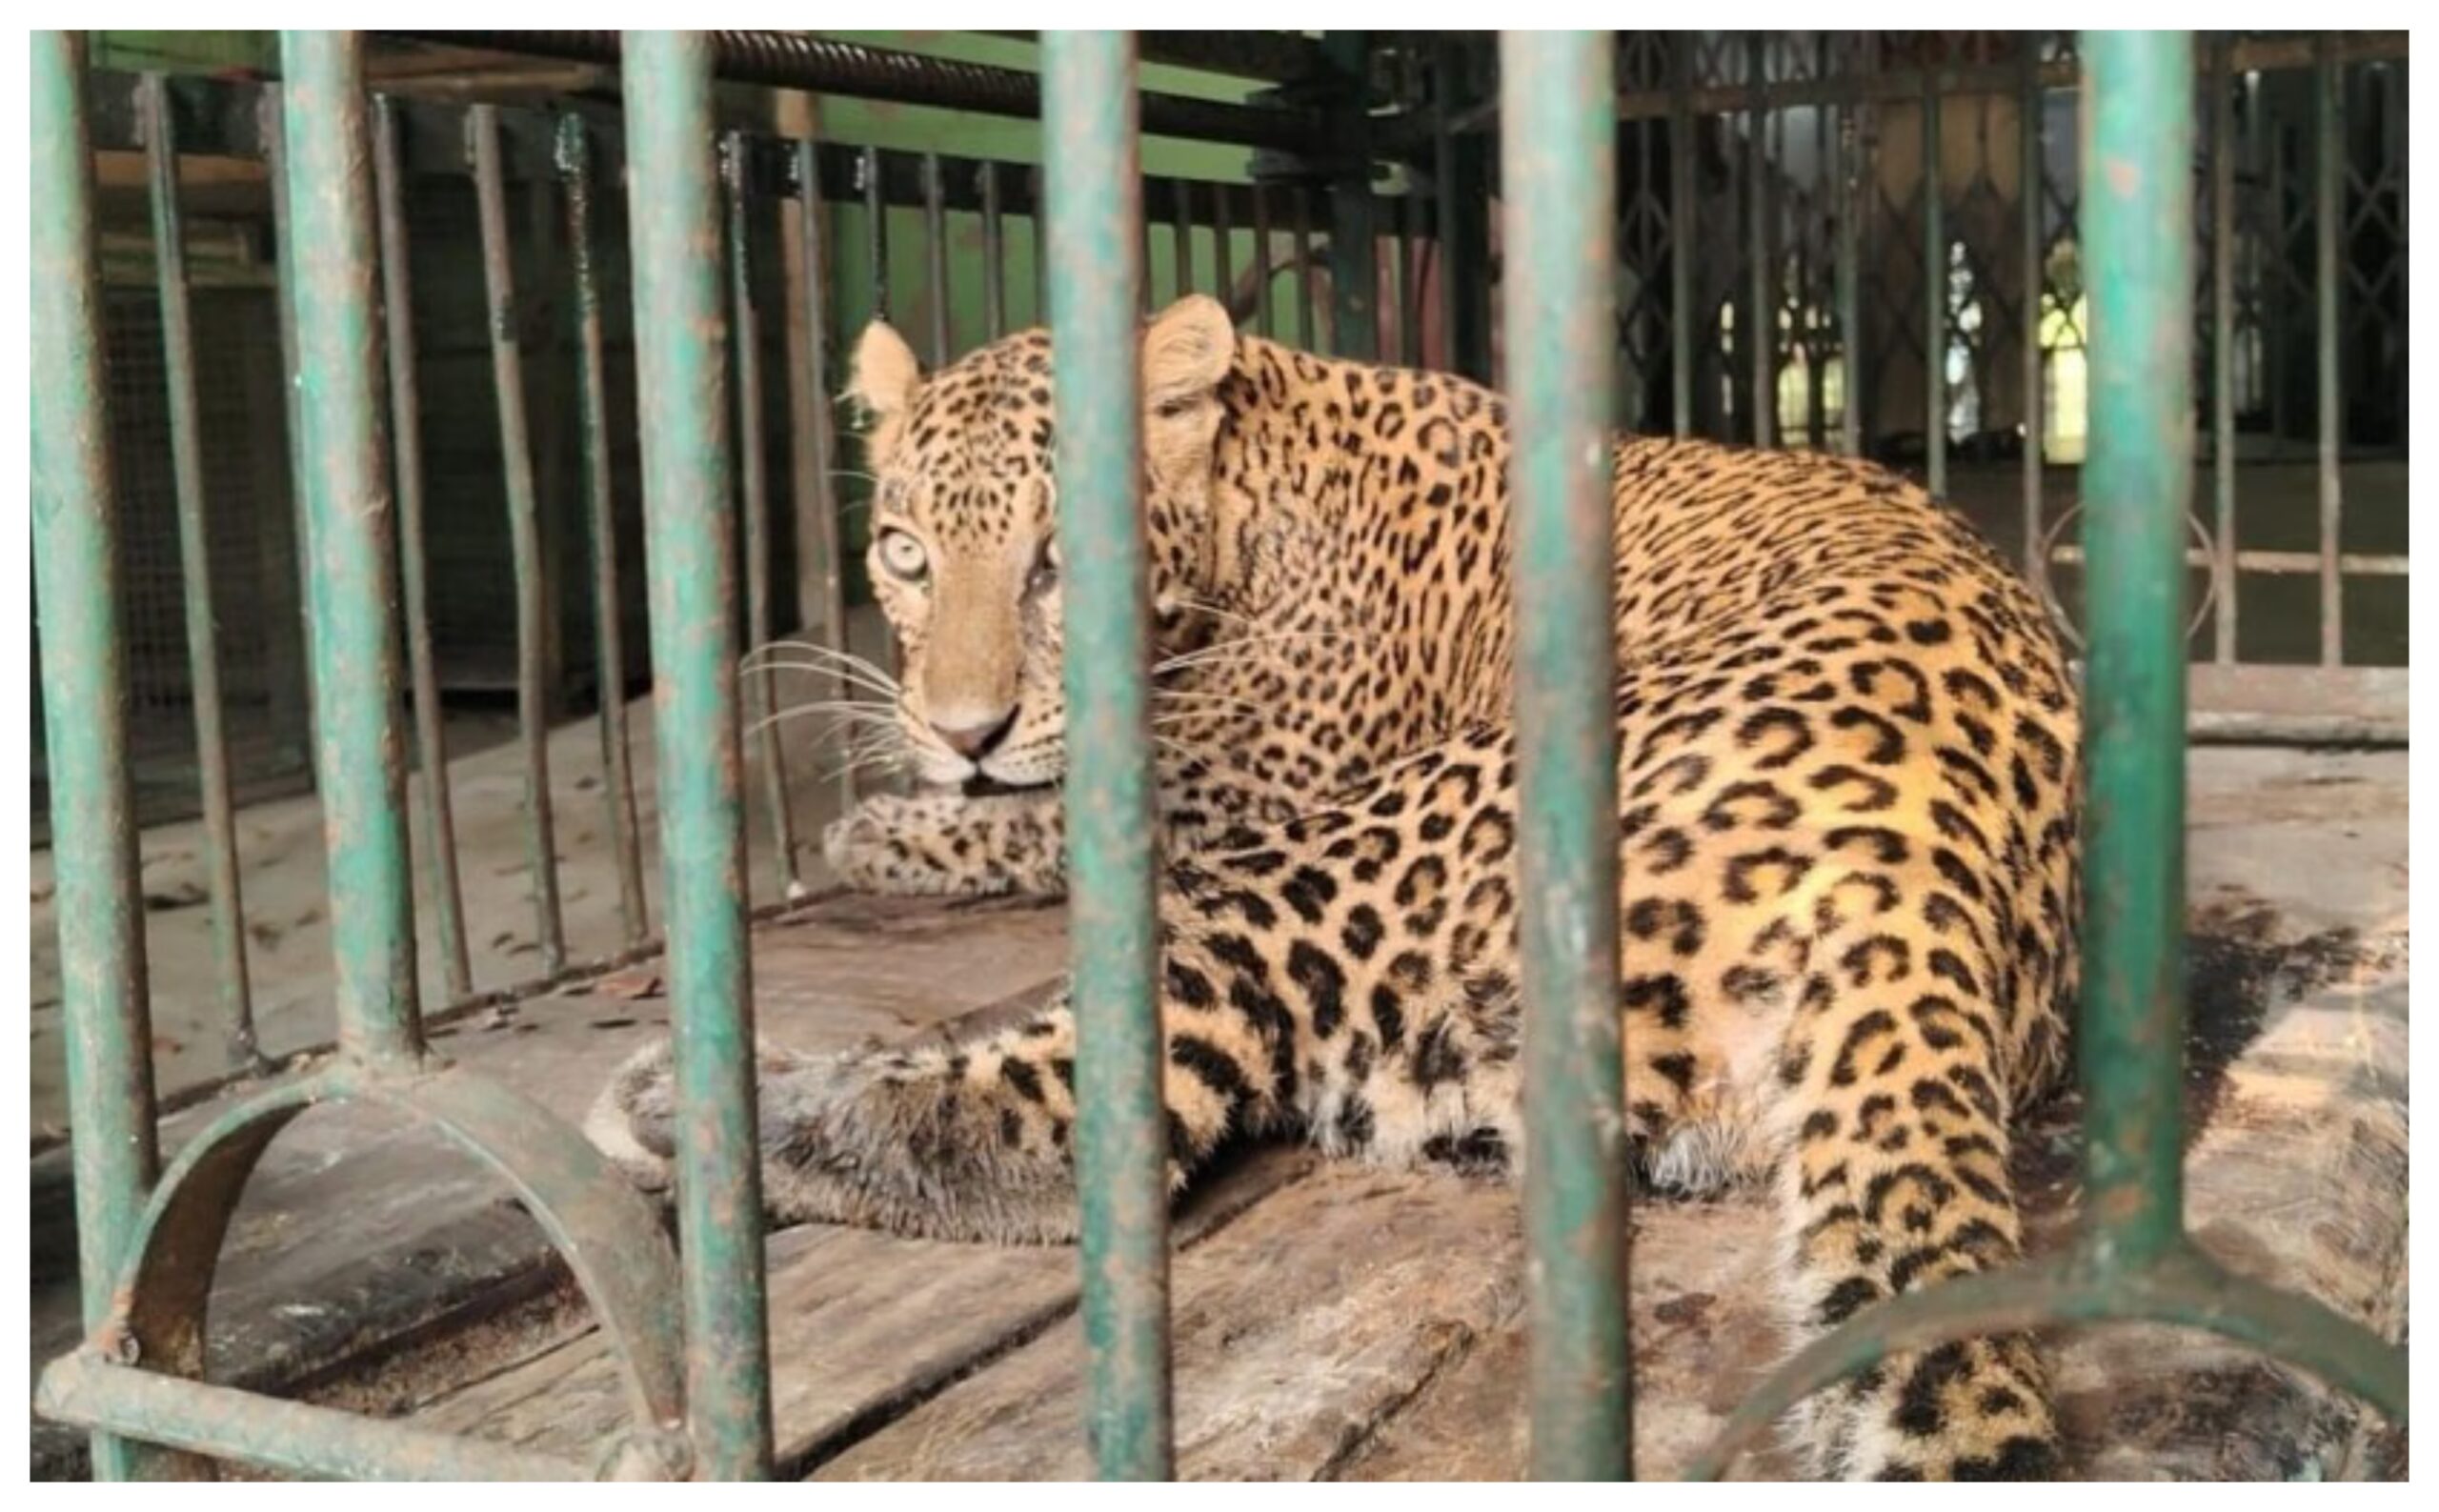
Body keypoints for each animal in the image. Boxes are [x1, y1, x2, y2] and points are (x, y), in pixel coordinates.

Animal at [589, 293, 2082, 1480]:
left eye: (1060, 560)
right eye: (904, 553)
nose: (961, 729)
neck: (1246, 478)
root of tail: (1909, 871)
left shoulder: (1245, 773)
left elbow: (1053, 806)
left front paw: (879, 826)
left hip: (1327, 864)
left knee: (1076, 1119)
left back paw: (690, 1109)